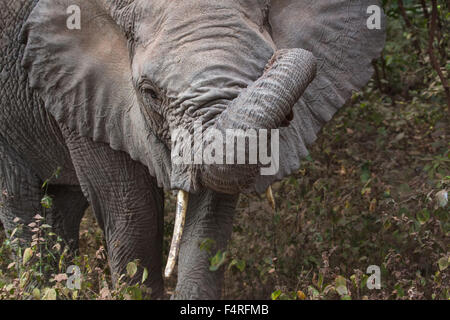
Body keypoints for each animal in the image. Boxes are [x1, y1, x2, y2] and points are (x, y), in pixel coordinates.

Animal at [0, 0, 386, 300]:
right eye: (150, 93)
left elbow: (210, 219)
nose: (281, 56)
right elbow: (132, 210)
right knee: (21, 204)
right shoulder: (83, 90)